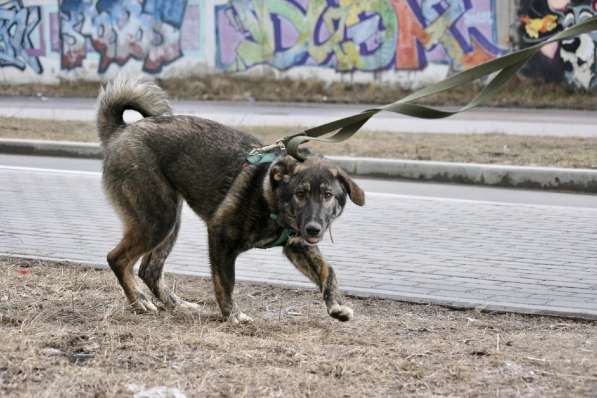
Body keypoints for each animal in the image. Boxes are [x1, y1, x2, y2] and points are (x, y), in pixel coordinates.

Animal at [96, 77, 364, 324]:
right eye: (300, 194)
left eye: (328, 195)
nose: (313, 228)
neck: (270, 198)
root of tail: (122, 130)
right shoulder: (220, 235)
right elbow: (225, 282)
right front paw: (232, 315)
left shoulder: (299, 247)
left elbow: (328, 271)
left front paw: (337, 305)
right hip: (158, 219)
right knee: (117, 259)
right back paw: (139, 301)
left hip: (170, 222)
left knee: (149, 270)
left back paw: (177, 304)